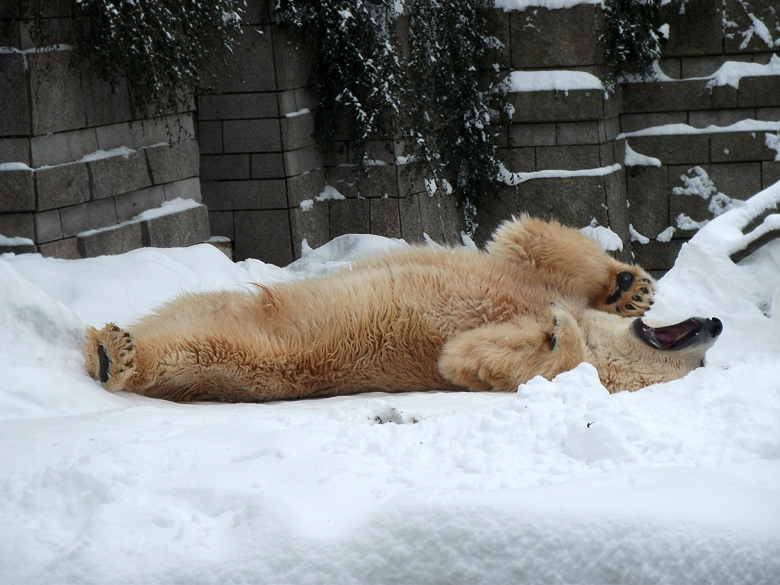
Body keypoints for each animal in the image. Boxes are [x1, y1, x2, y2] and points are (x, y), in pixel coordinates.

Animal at [82, 214, 724, 402]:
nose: (716, 323)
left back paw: (116, 354)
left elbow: (465, 360)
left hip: (264, 358)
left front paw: (551, 336)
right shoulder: (517, 276)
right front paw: (628, 287)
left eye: (698, 368)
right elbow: (524, 240)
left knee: (204, 353)